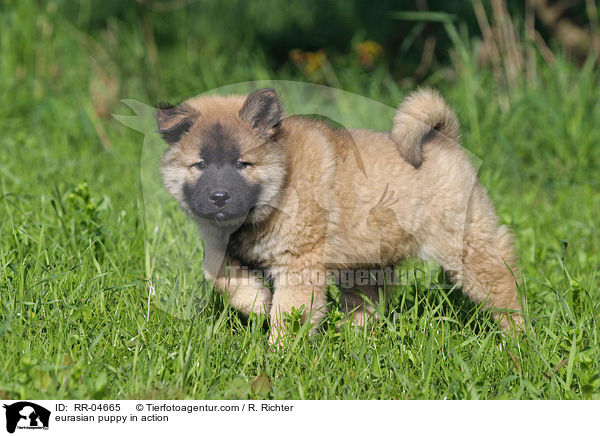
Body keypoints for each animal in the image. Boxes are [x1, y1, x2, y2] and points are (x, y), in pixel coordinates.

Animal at [157, 87, 524, 342]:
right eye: (200, 164)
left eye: (241, 163)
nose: (219, 197)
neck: (282, 182)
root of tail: (443, 140)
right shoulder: (219, 244)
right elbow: (216, 272)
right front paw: (257, 301)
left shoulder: (299, 263)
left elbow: (288, 312)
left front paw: (279, 355)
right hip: (365, 260)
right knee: (368, 303)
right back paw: (351, 338)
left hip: (464, 248)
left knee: (503, 283)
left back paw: (517, 338)